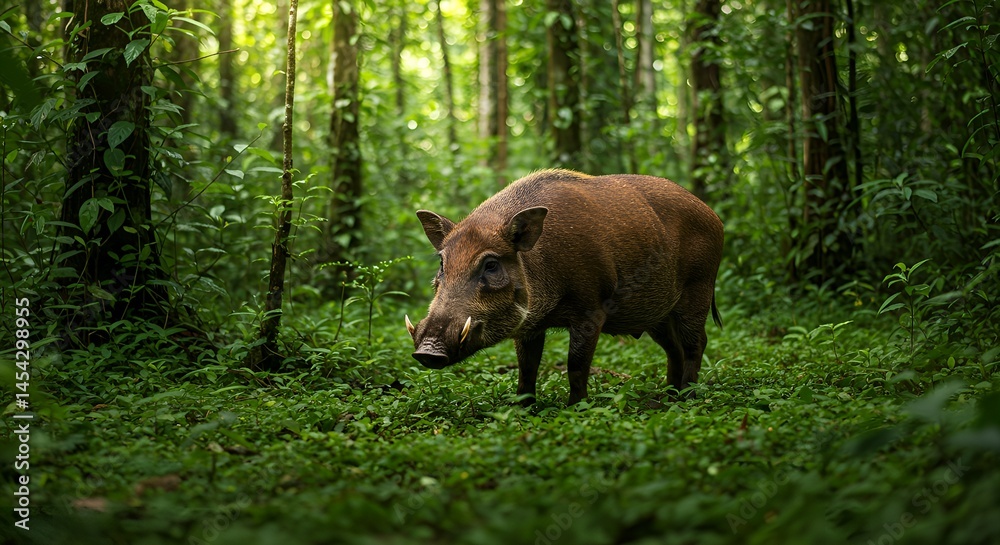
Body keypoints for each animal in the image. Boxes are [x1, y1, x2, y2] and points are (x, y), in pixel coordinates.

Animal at [406, 169, 723, 405]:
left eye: (491, 265)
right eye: (442, 263)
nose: (428, 352)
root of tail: (715, 217)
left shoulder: (591, 309)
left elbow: (576, 365)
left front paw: (576, 407)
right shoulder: (530, 325)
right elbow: (527, 367)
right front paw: (522, 408)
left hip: (698, 290)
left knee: (697, 343)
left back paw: (687, 397)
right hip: (657, 316)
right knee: (674, 349)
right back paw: (667, 397)